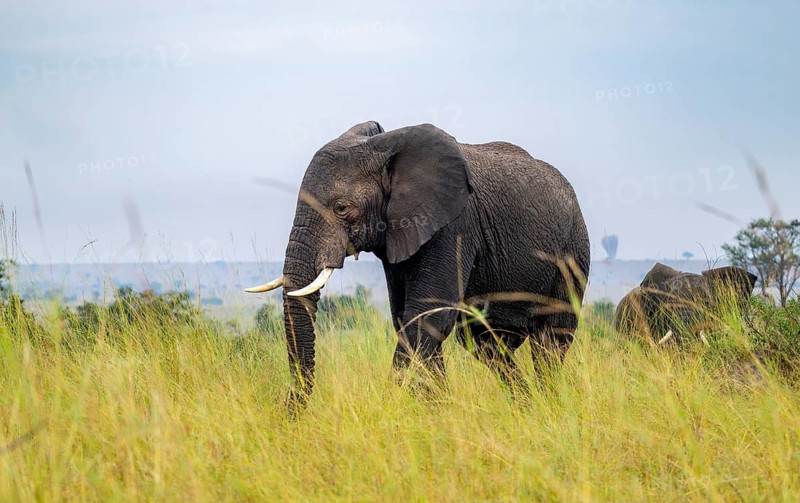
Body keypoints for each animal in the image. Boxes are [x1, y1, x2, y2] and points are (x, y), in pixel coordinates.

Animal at [245, 121, 590, 409]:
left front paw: (388, 415)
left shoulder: (453, 225)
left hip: (573, 250)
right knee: (486, 345)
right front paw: (435, 415)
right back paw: (524, 407)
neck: (385, 148)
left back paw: (548, 408)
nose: (290, 416)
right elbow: (409, 319)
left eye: (341, 208)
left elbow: (426, 315)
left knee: (550, 341)